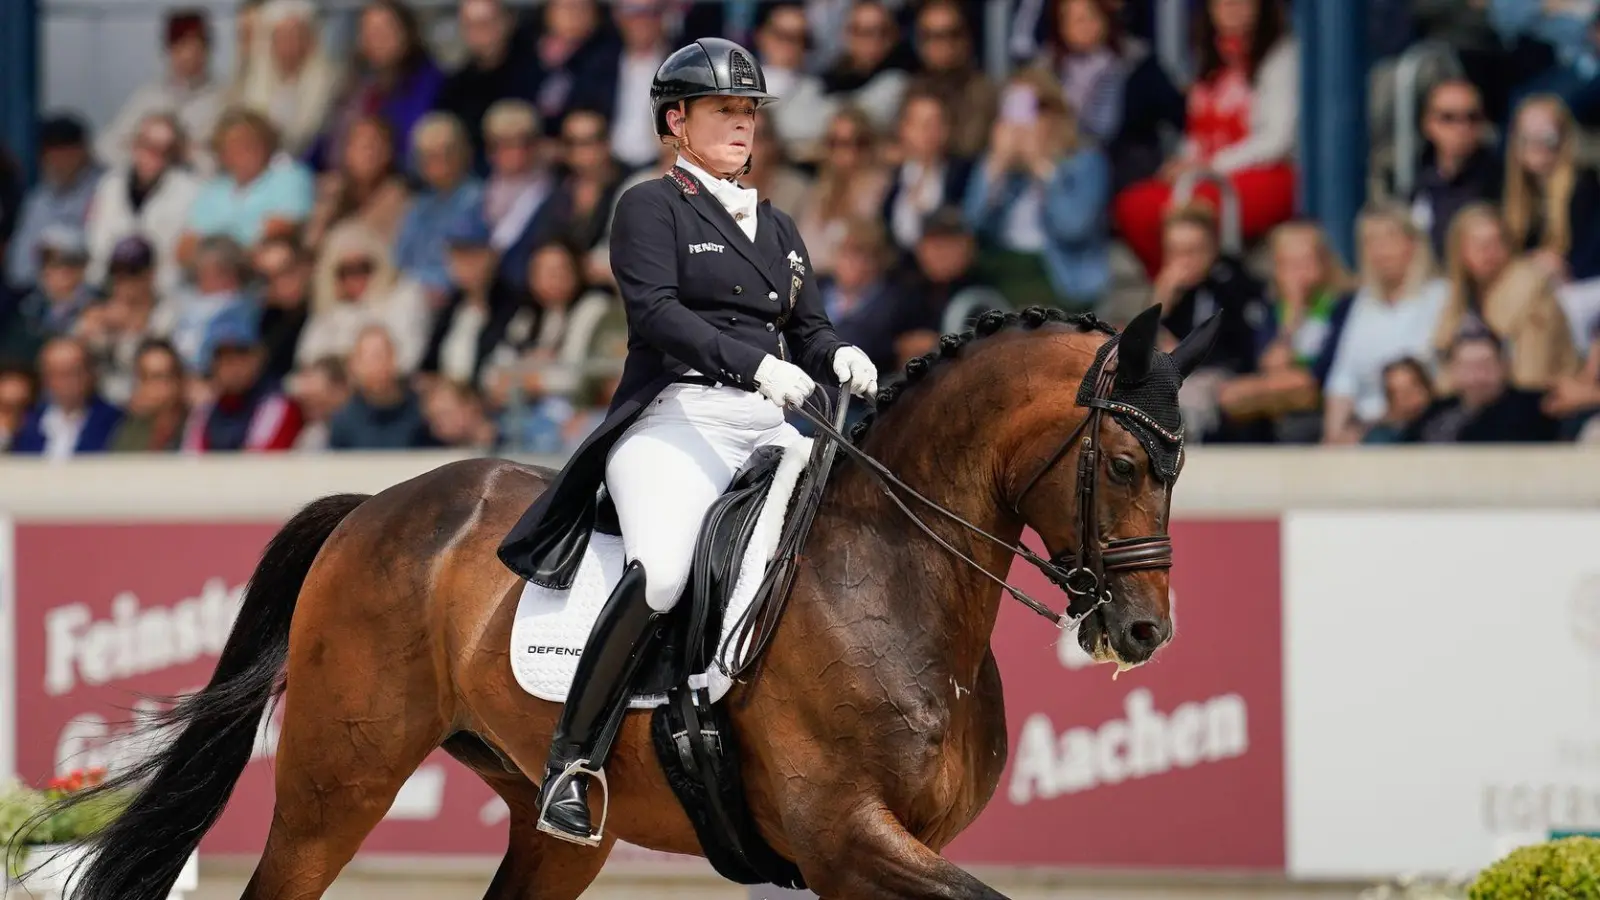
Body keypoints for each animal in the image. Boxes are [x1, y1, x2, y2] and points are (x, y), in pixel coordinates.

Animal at [59, 304, 1209, 890]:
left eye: (1179, 464)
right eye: (1119, 462)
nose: (1145, 630)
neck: (889, 576)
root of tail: (375, 505)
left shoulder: (874, 855)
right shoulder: (846, 838)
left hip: (545, 821)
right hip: (334, 785)